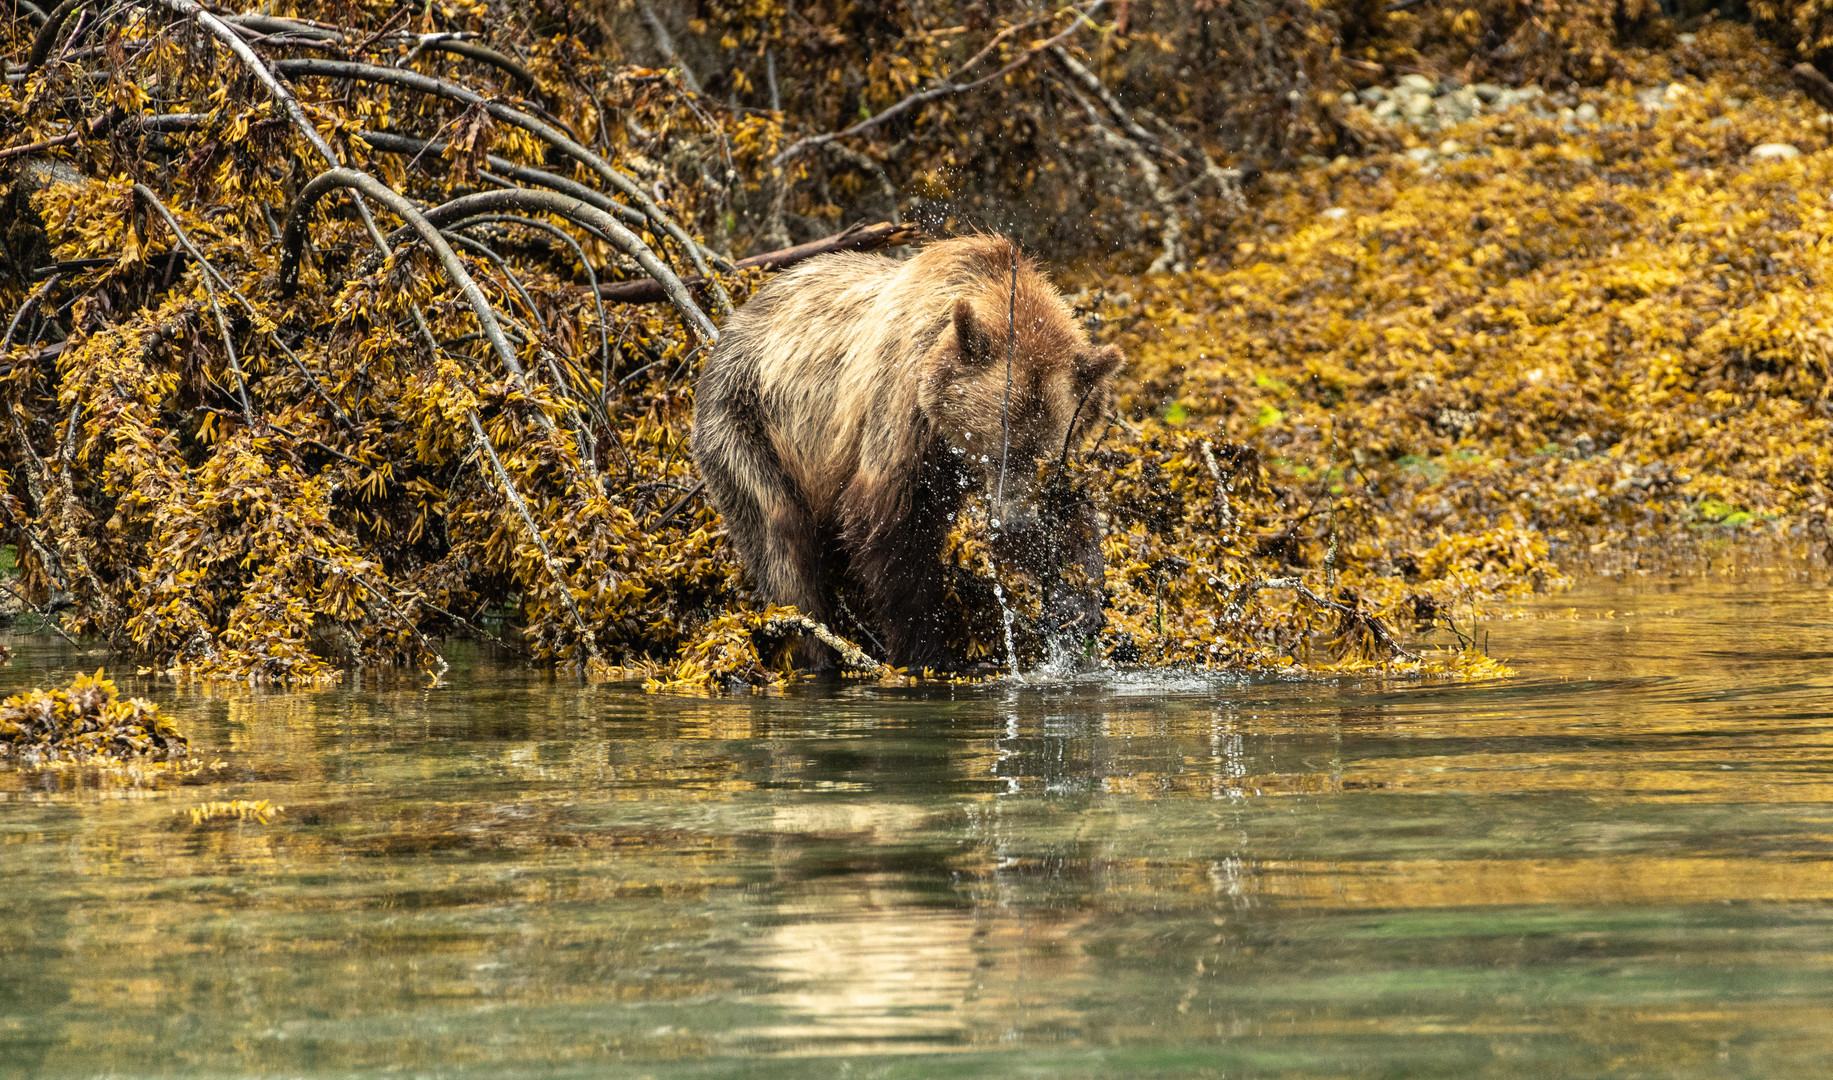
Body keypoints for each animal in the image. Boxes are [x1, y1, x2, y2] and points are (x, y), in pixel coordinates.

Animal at [689, 238, 1114, 663]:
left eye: (1043, 457)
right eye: (999, 450)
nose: (1017, 523)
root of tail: (727, 329)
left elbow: (1072, 514)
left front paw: (1076, 603)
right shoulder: (900, 404)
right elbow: (887, 528)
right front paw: (927, 651)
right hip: (744, 423)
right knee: (782, 545)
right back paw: (816, 645)